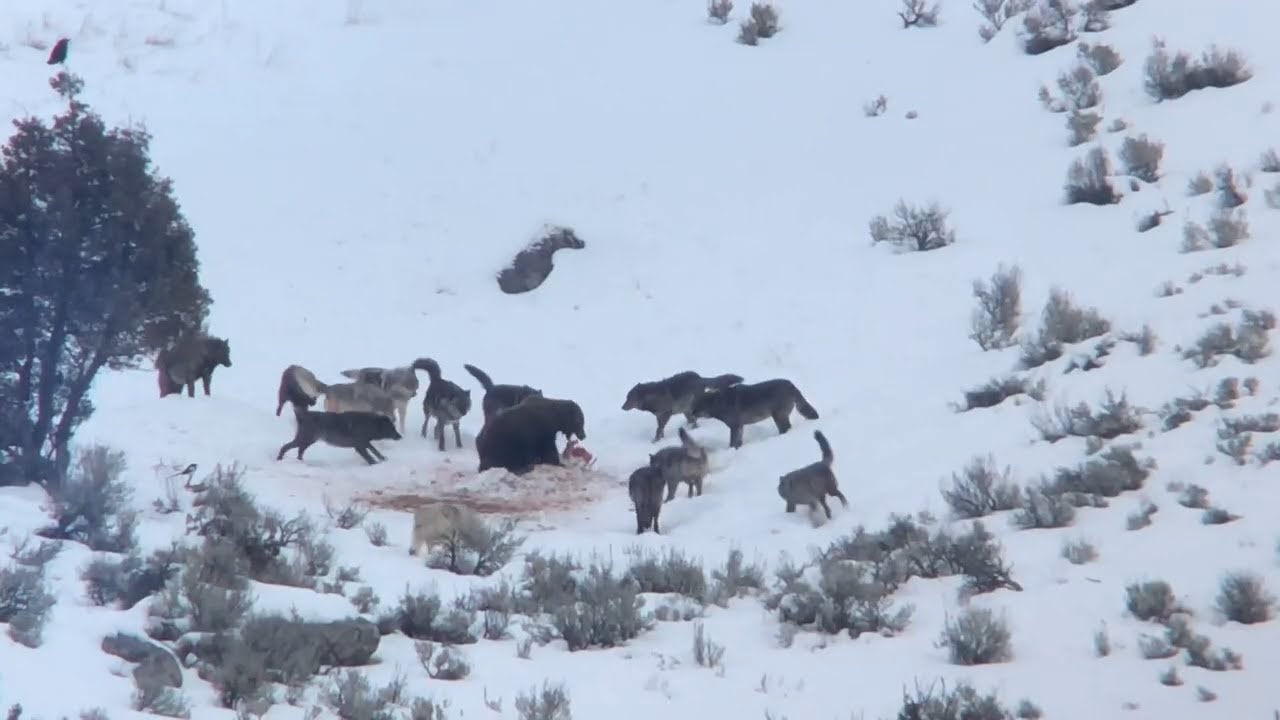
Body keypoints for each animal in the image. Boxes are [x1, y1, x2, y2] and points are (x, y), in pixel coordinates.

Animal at [689, 378, 819, 449]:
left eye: (698, 408)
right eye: (693, 406)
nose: (691, 414)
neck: (720, 403)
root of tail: (791, 384)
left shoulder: (735, 426)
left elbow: (732, 443)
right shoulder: (740, 427)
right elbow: (738, 442)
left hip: (778, 416)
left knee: (786, 428)